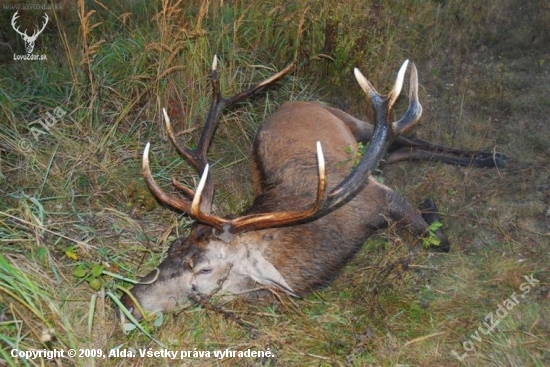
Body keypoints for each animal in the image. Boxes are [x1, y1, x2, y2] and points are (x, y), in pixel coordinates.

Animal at [121, 57, 508, 320]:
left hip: (353, 120)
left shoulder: (381, 195)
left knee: (408, 136)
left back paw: (494, 157)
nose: (127, 302)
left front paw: (430, 205)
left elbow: (439, 241)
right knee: (399, 148)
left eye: (203, 269)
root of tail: (294, 101)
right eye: (172, 245)